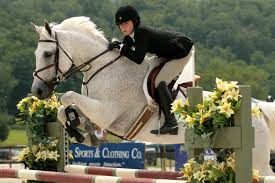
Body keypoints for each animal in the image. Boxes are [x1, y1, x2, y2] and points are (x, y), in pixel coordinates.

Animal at [29, 17, 274, 176]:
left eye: (48, 54)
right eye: (36, 54)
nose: (38, 91)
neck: (102, 68)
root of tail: (256, 109)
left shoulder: (107, 112)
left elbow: (67, 97)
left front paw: (83, 132)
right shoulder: (95, 107)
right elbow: (65, 109)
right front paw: (82, 133)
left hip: (256, 156)